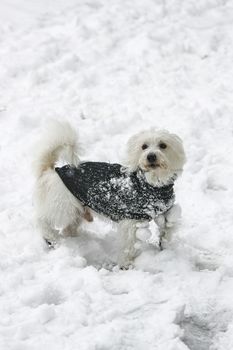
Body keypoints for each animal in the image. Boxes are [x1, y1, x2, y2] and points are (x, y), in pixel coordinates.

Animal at [32, 121, 186, 266]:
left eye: (163, 145)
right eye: (144, 146)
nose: (151, 156)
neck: (152, 183)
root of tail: (51, 171)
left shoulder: (166, 212)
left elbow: (167, 230)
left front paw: (163, 246)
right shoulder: (130, 222)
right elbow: (128, 245)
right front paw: (126, 263)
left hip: (77, 210)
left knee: (67, 229)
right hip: (63, 207)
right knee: (42, 220)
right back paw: (51, 239)